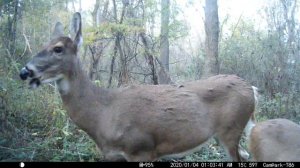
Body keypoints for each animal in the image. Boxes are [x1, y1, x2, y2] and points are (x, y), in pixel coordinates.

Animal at [19, 12, 256, 161]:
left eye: (58, 48)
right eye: (43, 45)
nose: (24, 71)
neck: (102, 113)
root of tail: (252, 90)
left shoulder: (141, 149)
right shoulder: (112, 156)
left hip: (231, 130)